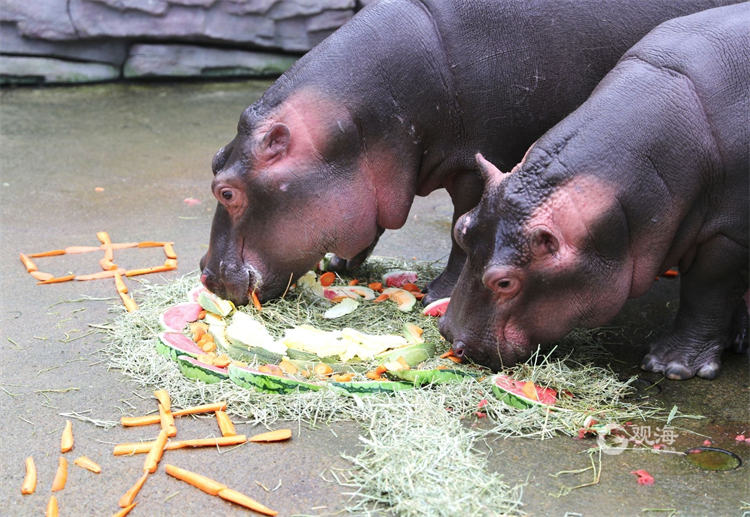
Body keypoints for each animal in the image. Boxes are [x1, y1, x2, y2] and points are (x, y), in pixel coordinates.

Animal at [200, 0, 737, 306]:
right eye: (213, 160)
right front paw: (340, 261)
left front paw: (437, 293)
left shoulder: (486, 163)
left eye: (226, 191)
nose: (205, 274)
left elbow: (465, 228)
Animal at [440, 3, 749, 380]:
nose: (449, 335)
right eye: (461, 230)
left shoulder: (729, 236)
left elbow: (707, 292)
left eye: (504, 282)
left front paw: (670, 366)